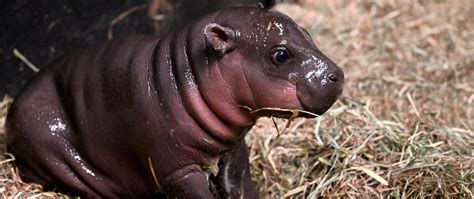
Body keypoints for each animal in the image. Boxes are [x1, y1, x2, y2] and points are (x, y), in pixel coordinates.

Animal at [4, 6, 344, 199]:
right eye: (281, 54)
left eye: (306, 31)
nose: (337, 75)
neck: (187, 76)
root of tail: (13, 106)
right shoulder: (177, 171)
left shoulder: (233, 152)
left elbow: (242, 185)